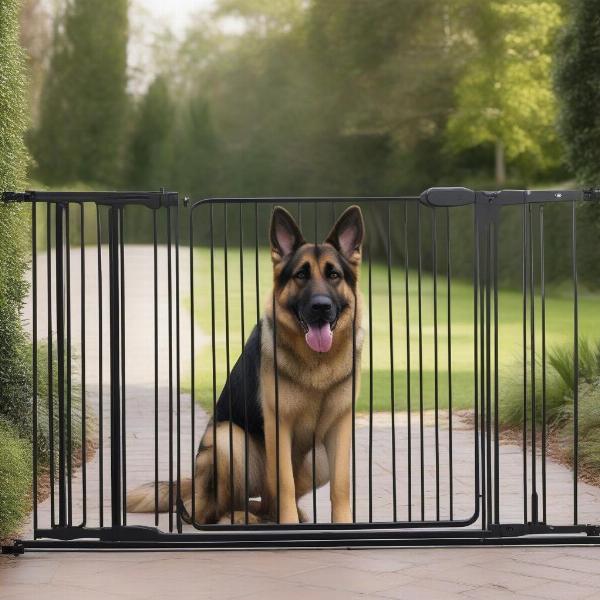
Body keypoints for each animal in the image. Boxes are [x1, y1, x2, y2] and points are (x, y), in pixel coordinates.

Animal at [127, 204, 366, 524]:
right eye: (301, 275)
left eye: (334, 275)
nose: (321, 307)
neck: (317, 362)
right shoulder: (279, 425)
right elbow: (285, 482)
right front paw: (289, 525)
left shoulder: (339, 428)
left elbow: (341, 485)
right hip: (227, 441)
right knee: (207, 509)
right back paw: (238, 517)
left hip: (319, 457)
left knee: (265, 503)